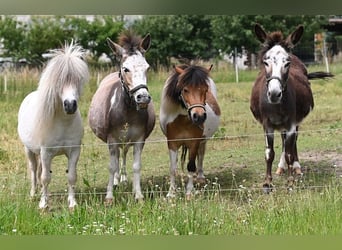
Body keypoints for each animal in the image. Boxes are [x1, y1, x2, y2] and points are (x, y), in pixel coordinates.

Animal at [18, 41, 89, 209]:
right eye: (59, 81)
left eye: (78, 79)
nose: (70, 105)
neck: (63, 123)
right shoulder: (46, 152)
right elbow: (45, 178)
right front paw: (43, 204)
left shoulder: (74, 151)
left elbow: (71, 176)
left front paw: (72, 203)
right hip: (29, 150)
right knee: (33, 171)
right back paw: (33, 194)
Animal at [160, 65, 220, 199]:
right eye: (185, 90)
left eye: (205, 89)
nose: (199, 116)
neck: (182, 120)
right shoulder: (172, 143)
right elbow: (173, 168)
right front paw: (171, 193)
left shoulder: (194, 142)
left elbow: (191, 166)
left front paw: (189, 192)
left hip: (203, 140)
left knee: (201, 154)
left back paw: (200, 177)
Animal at [250, 23, 332, 191]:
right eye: (265, 62)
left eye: (287, 63)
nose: (275, 93)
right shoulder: (267, 125)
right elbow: (269, 153)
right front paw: (267, 183)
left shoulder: (291, 124)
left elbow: (289, 152)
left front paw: (290, 182)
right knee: (283, 142)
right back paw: (281, 168)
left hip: (295, 122)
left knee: (293, 144)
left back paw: (296, 168)